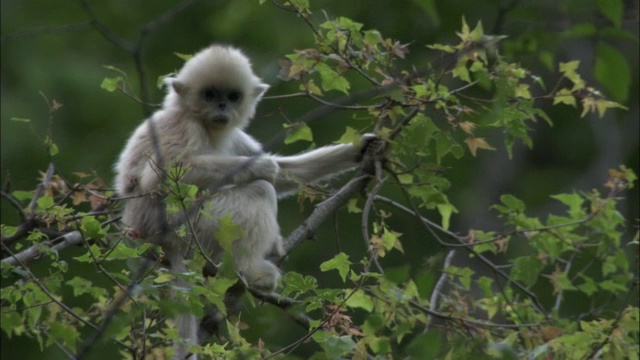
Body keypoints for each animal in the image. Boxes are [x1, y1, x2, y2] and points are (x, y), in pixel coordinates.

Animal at [115, 44, 376, 358]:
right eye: (209, 95)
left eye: (232, 96)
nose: (222, 107)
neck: (207, 126)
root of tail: (157, 238)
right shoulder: (184, 126)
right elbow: (159, 178)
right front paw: (261, 166)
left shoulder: (233, 135)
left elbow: (286, 173)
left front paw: (362, 149)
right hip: (192, 226)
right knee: (260, 190)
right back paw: (251, 273)